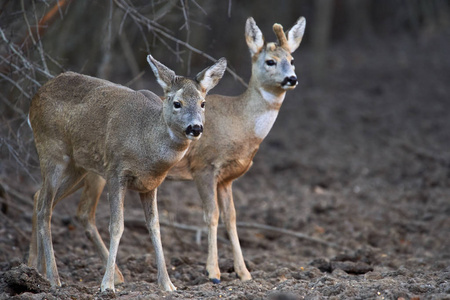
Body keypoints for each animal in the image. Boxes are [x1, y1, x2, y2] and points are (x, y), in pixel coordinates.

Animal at [26, 55, 227, 292]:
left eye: (203, 103)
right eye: (177, 103)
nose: (195, 128)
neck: (146, 143)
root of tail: (36, 96)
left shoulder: (151, 185)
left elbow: (155, 227)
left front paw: (168, 284)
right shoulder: (115, 172)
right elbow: (116, 226)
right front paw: (107, 285)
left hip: (79, 166)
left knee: (38, 197)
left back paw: (34, 269)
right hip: (51, 151)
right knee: (45, 209)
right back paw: (54, 278)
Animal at [63, 16, 304, 286]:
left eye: (292, 59)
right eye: (270, 61)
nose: (292, 78)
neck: (240, 122)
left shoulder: (227, 178)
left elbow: (231, 218)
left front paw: (244, 273)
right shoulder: (204, 167)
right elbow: (212, 215)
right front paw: (213, 273)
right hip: (99, 171)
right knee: (82, 211)